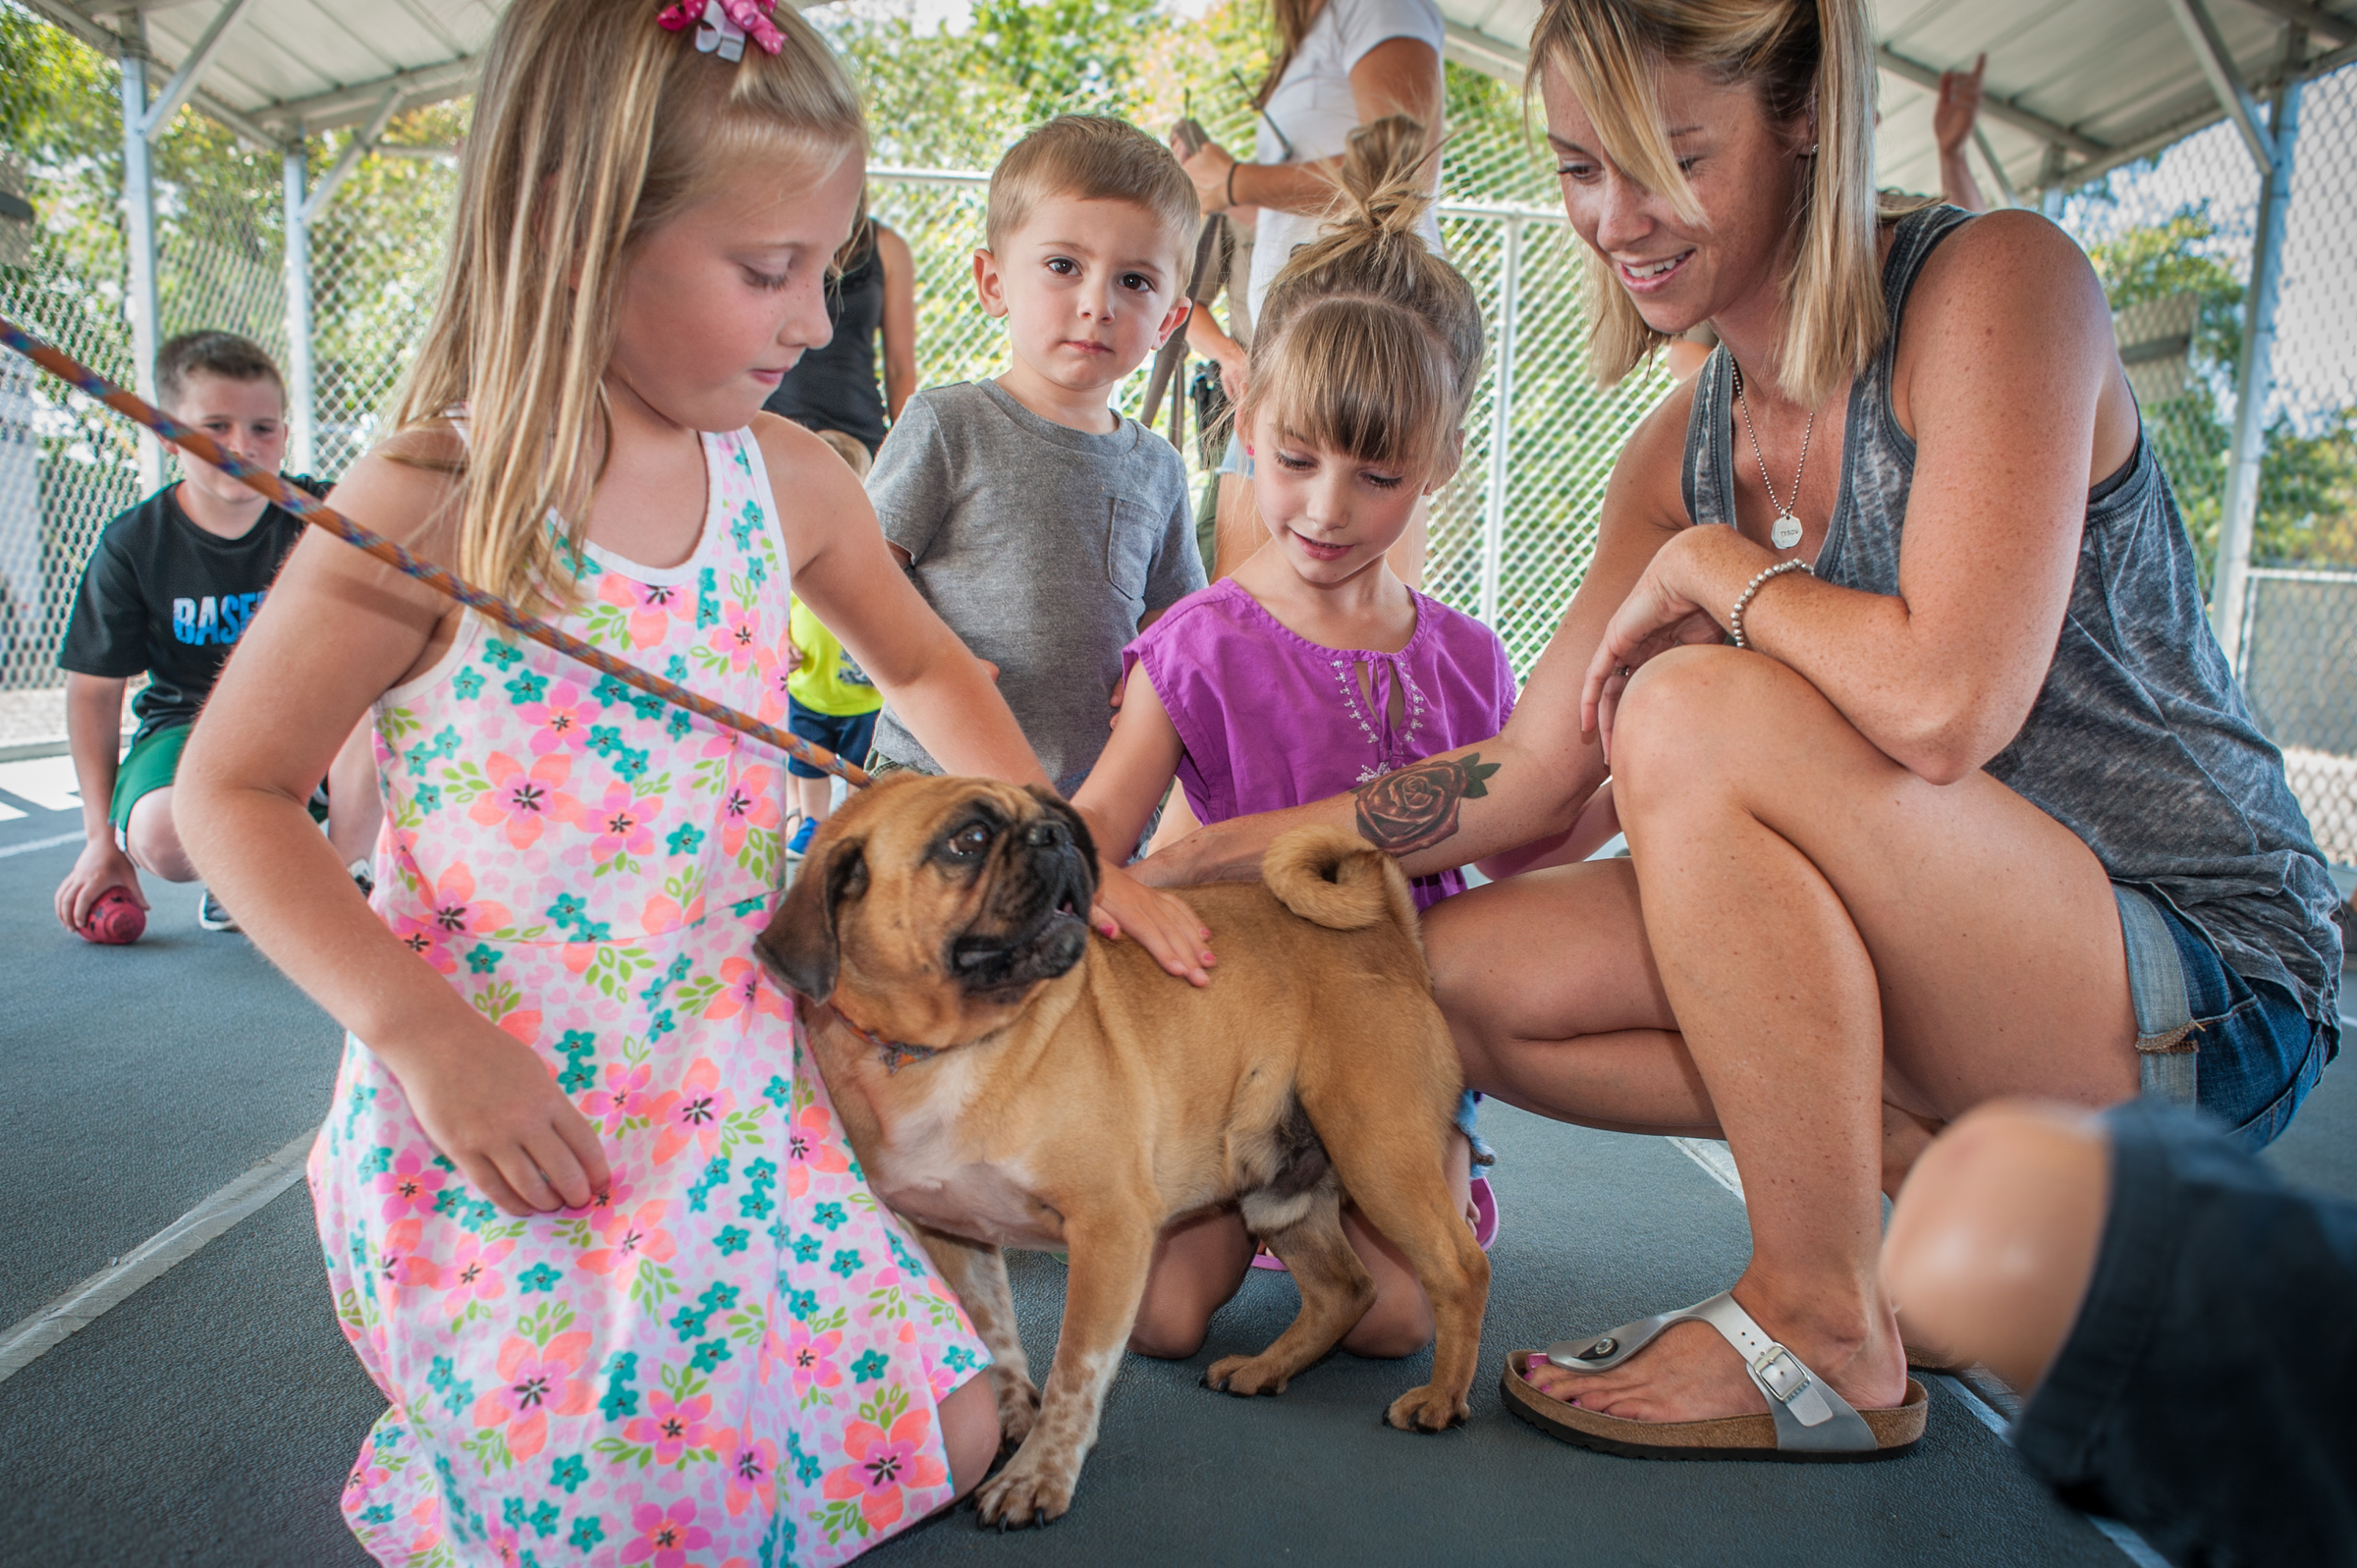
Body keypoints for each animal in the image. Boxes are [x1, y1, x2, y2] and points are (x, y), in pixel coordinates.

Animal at [755, 774, 1489, 1528]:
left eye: (1050, 817)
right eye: (969, 839)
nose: (1054, 835)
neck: (952, 1048)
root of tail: (1389, 934)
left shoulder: (1109, 1230)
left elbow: (1075, 1369)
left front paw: (1039, 1473)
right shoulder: (956, 1233)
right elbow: (997, 1337)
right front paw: (1012, 1416)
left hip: (1378, 1155)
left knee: (1459, 1269)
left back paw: (1440, 1400)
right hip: (1280, 1190)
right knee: (1344, 1289)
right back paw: (1264, 1369)